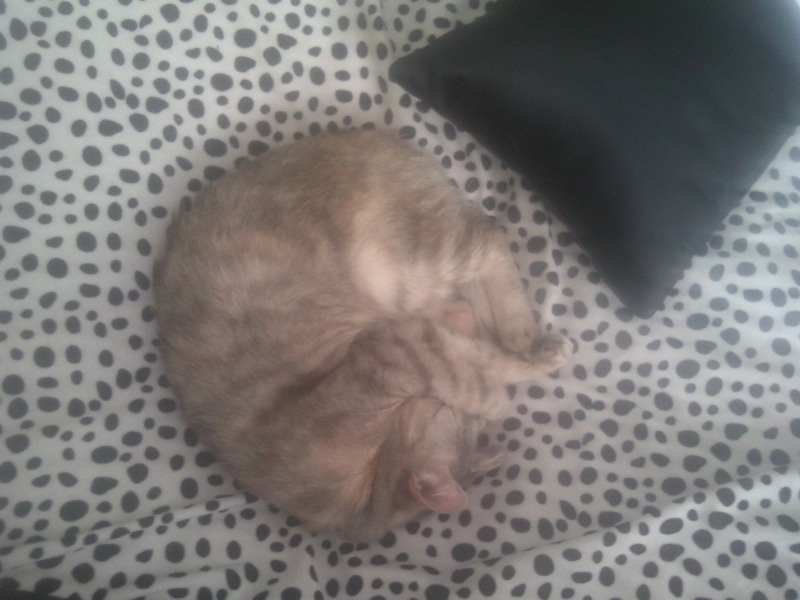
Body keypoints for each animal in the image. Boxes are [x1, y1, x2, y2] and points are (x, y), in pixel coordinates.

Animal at [153, 129, 570, 540]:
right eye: (457, 418)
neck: (365, 492)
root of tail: (379, 137)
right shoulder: (402, 344)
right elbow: (483, 370)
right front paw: (501, 388)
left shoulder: (396, 348)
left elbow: (485, 365)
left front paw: (522, 365)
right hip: (407, 283)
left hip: (415, 263)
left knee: (491, 240)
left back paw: (520, 330)